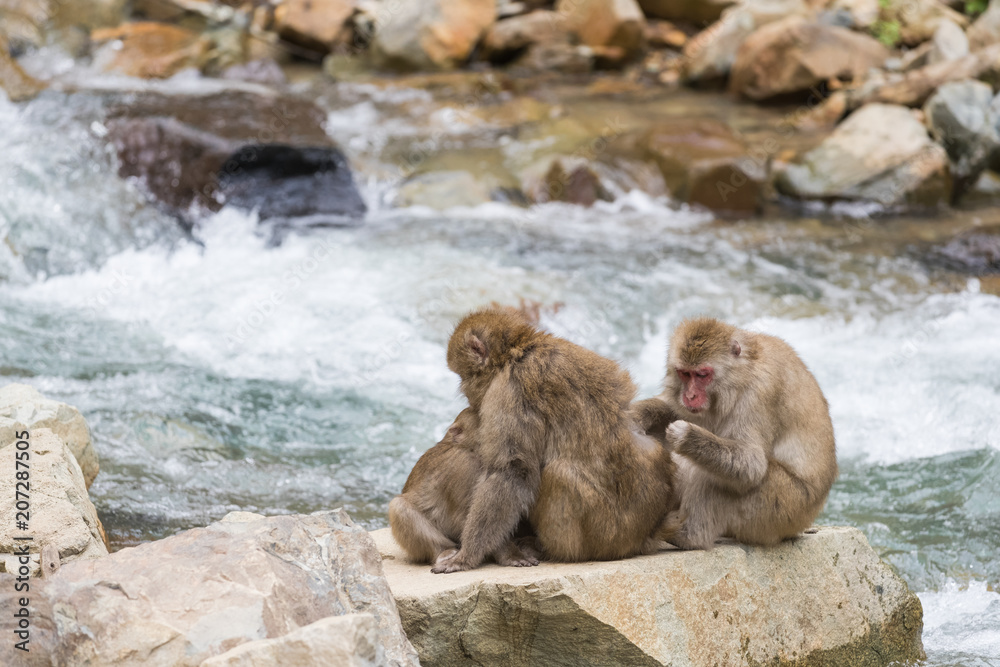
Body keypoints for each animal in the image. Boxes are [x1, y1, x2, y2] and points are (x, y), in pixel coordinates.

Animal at [386, 408, 540, 568]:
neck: (468, 448)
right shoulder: (464, 467)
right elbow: (465, 517)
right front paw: (511, 555)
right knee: (399, 506)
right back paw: (445, 551)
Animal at [432, 308, 680, 576]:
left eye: (463, 375)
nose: (464, 389)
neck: (519, 350)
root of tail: (641, 538)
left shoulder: (510, 389)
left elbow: (512, 469)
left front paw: (466, 557)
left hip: (598, 537)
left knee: (555, 474)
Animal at [632, 318, 836, 552]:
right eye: (684, 373)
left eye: (702, 375)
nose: (690, 395)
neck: (743, 370)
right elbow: (676, 408)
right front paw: (639, 414)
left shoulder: (758, 393)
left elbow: (752, 464)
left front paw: (687, 436)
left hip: (782, 507)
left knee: (708, 474)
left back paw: (688, 537)